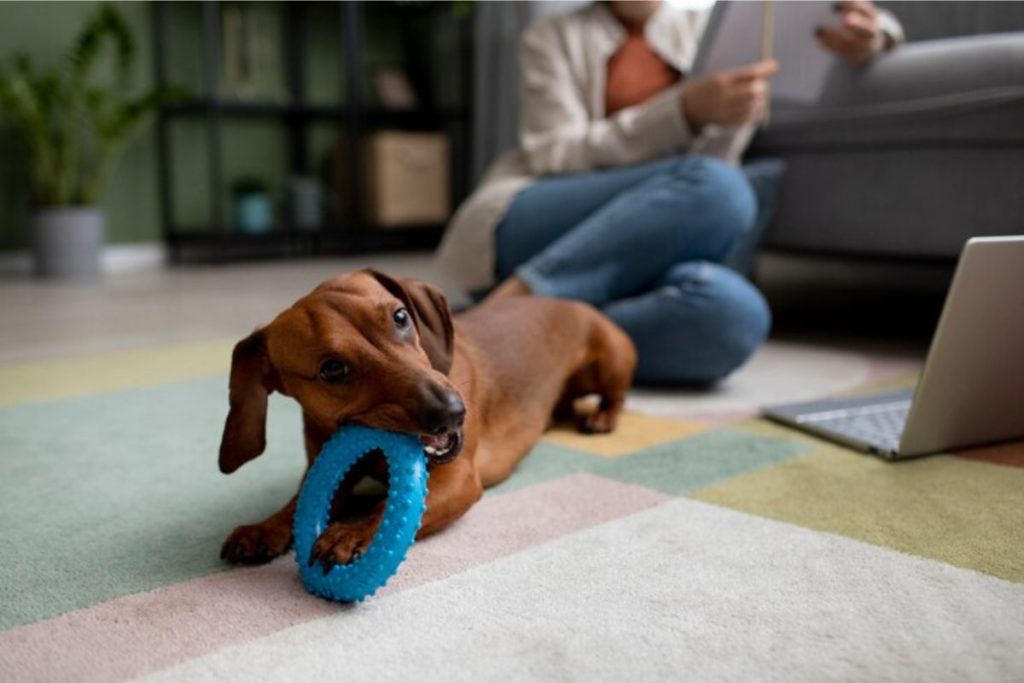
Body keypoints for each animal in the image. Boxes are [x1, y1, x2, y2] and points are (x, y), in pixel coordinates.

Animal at [218, 270, 630, 569]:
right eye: (332, 369)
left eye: (400, 316)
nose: (452, 411)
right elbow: (298, 502)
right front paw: (264, 528)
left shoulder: (459, 480)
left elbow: (386, 506)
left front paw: (350, 532)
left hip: (610, 362)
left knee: (616, 395)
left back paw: (603, 417)